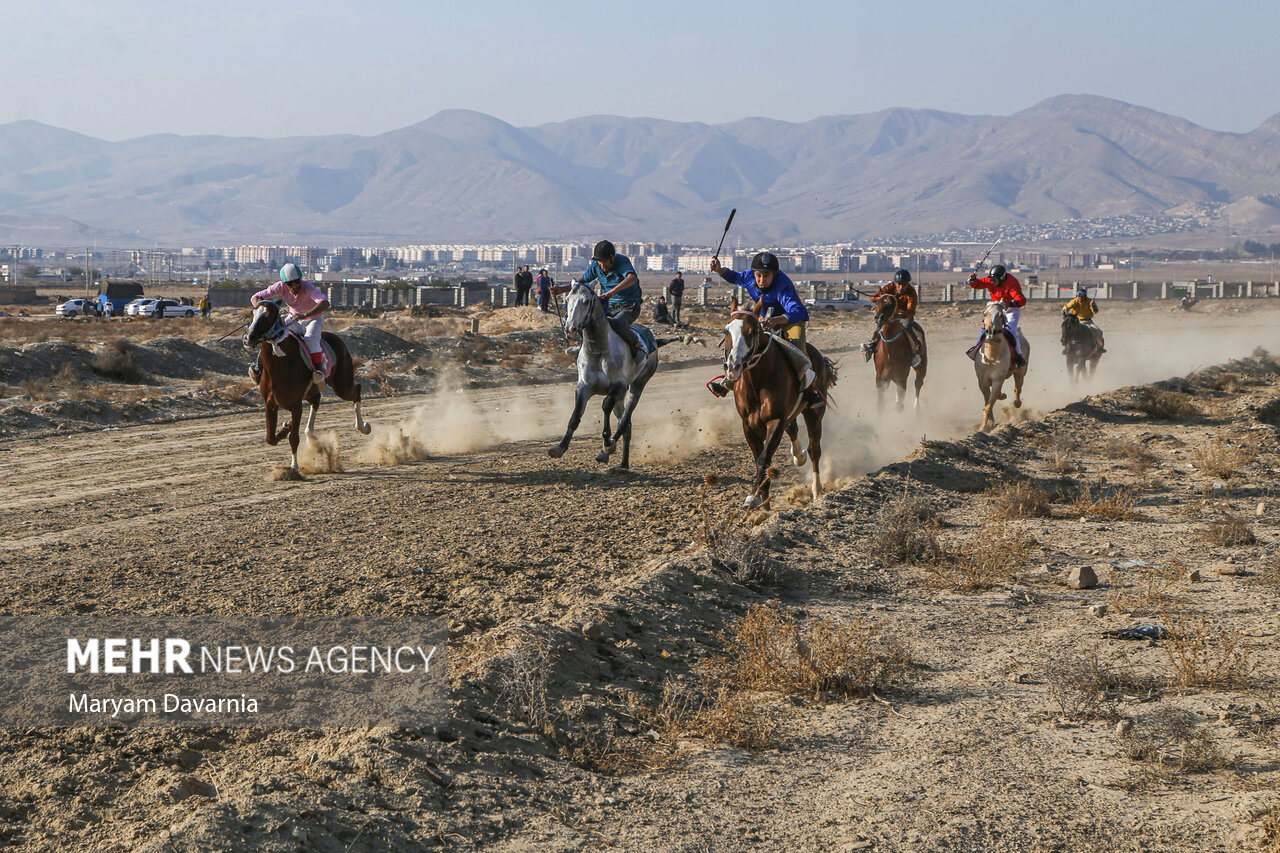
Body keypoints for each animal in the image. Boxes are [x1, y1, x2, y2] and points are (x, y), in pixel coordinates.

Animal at [243, 298, 371, 468]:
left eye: (268, 316)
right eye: (252, 313)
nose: (248, 337)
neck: (280, 364)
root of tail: (336, 338)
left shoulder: (296, 405)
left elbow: (293, 438)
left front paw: (294, 465)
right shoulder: (270, 404)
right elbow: (270, 438)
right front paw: (286, 427)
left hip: (342, 385)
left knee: (356, 391)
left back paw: (363, 427)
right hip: (314, 391)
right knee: (316, 403)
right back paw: (312, 439)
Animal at [545, 286, 696, 471]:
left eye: (586, 301)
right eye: (567, 299)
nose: (571, 328)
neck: (599, 350)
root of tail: (654, 339)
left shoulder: (619, 386)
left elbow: (605, 406)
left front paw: (607, 443)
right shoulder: (583, 387)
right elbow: (575, 416)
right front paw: (560, 447)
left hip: (637, 386)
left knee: (625, 420)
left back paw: (609, 449)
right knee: (627, 426)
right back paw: (623, 463)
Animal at [721, 307, 839, 502]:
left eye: (752, 332)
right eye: (726, 331)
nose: (733, 367)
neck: (758, 381)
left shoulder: (775, 421)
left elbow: (764, 460)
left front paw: (752, 499)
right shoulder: (748, 425)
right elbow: (759, 459)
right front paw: (763, 502)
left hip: (814, 412)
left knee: (814, 449)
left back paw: (816, 489)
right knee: (793, 429)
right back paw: (799, 456)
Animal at [972, 300, 1034, 432]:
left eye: (1001, 315)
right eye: (985, 314)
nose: (991, 332)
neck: (992, 357)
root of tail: (1020, 332)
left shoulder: (997, 380)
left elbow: (989, 405)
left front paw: (983, 428)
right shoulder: (982, 382)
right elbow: (987, 402)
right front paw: (989, 424)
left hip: (1021, 372)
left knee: (1017, 388)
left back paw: (1017, 403)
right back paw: (1002, 395)